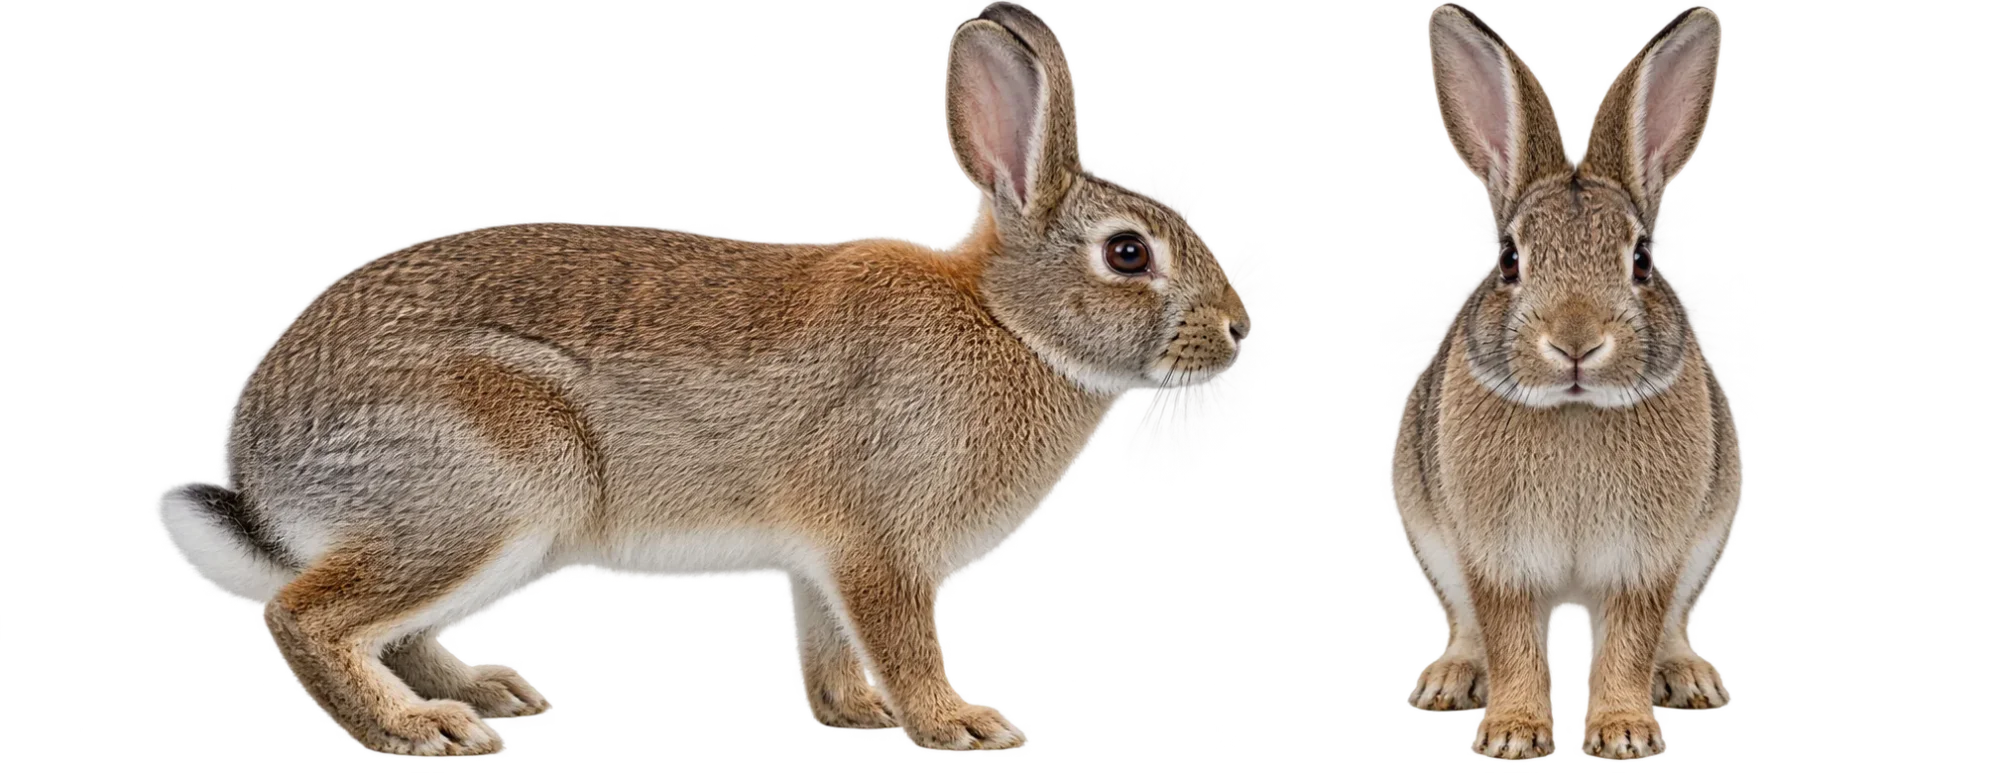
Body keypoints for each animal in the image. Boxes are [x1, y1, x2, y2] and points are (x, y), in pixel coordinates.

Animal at [147, 0, 1257, 760]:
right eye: (1127, 254)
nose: (1236, 330)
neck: (1010, 319)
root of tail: (259, 470)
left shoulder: (818, 560)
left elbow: (828, 641)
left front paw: (855, 713)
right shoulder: (879, 544)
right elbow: (904, 641)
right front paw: (960, 724)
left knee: (395, 628)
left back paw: (491, 692)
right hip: (485, 488)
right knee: (310, 618)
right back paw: (424, 730)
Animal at [1388, 1, 1740, 764]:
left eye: (1642, 260)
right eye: (1508, 260)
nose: (1575, 344)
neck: (1574, 409)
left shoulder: (1647, 559)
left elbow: (1630, 641)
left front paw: (1625, 732)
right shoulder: (1497, 558)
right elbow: (1512, 640)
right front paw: (1514, 734)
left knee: (1671, 628)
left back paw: (1690, 677)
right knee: (1468, 626)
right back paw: (1449, 679)